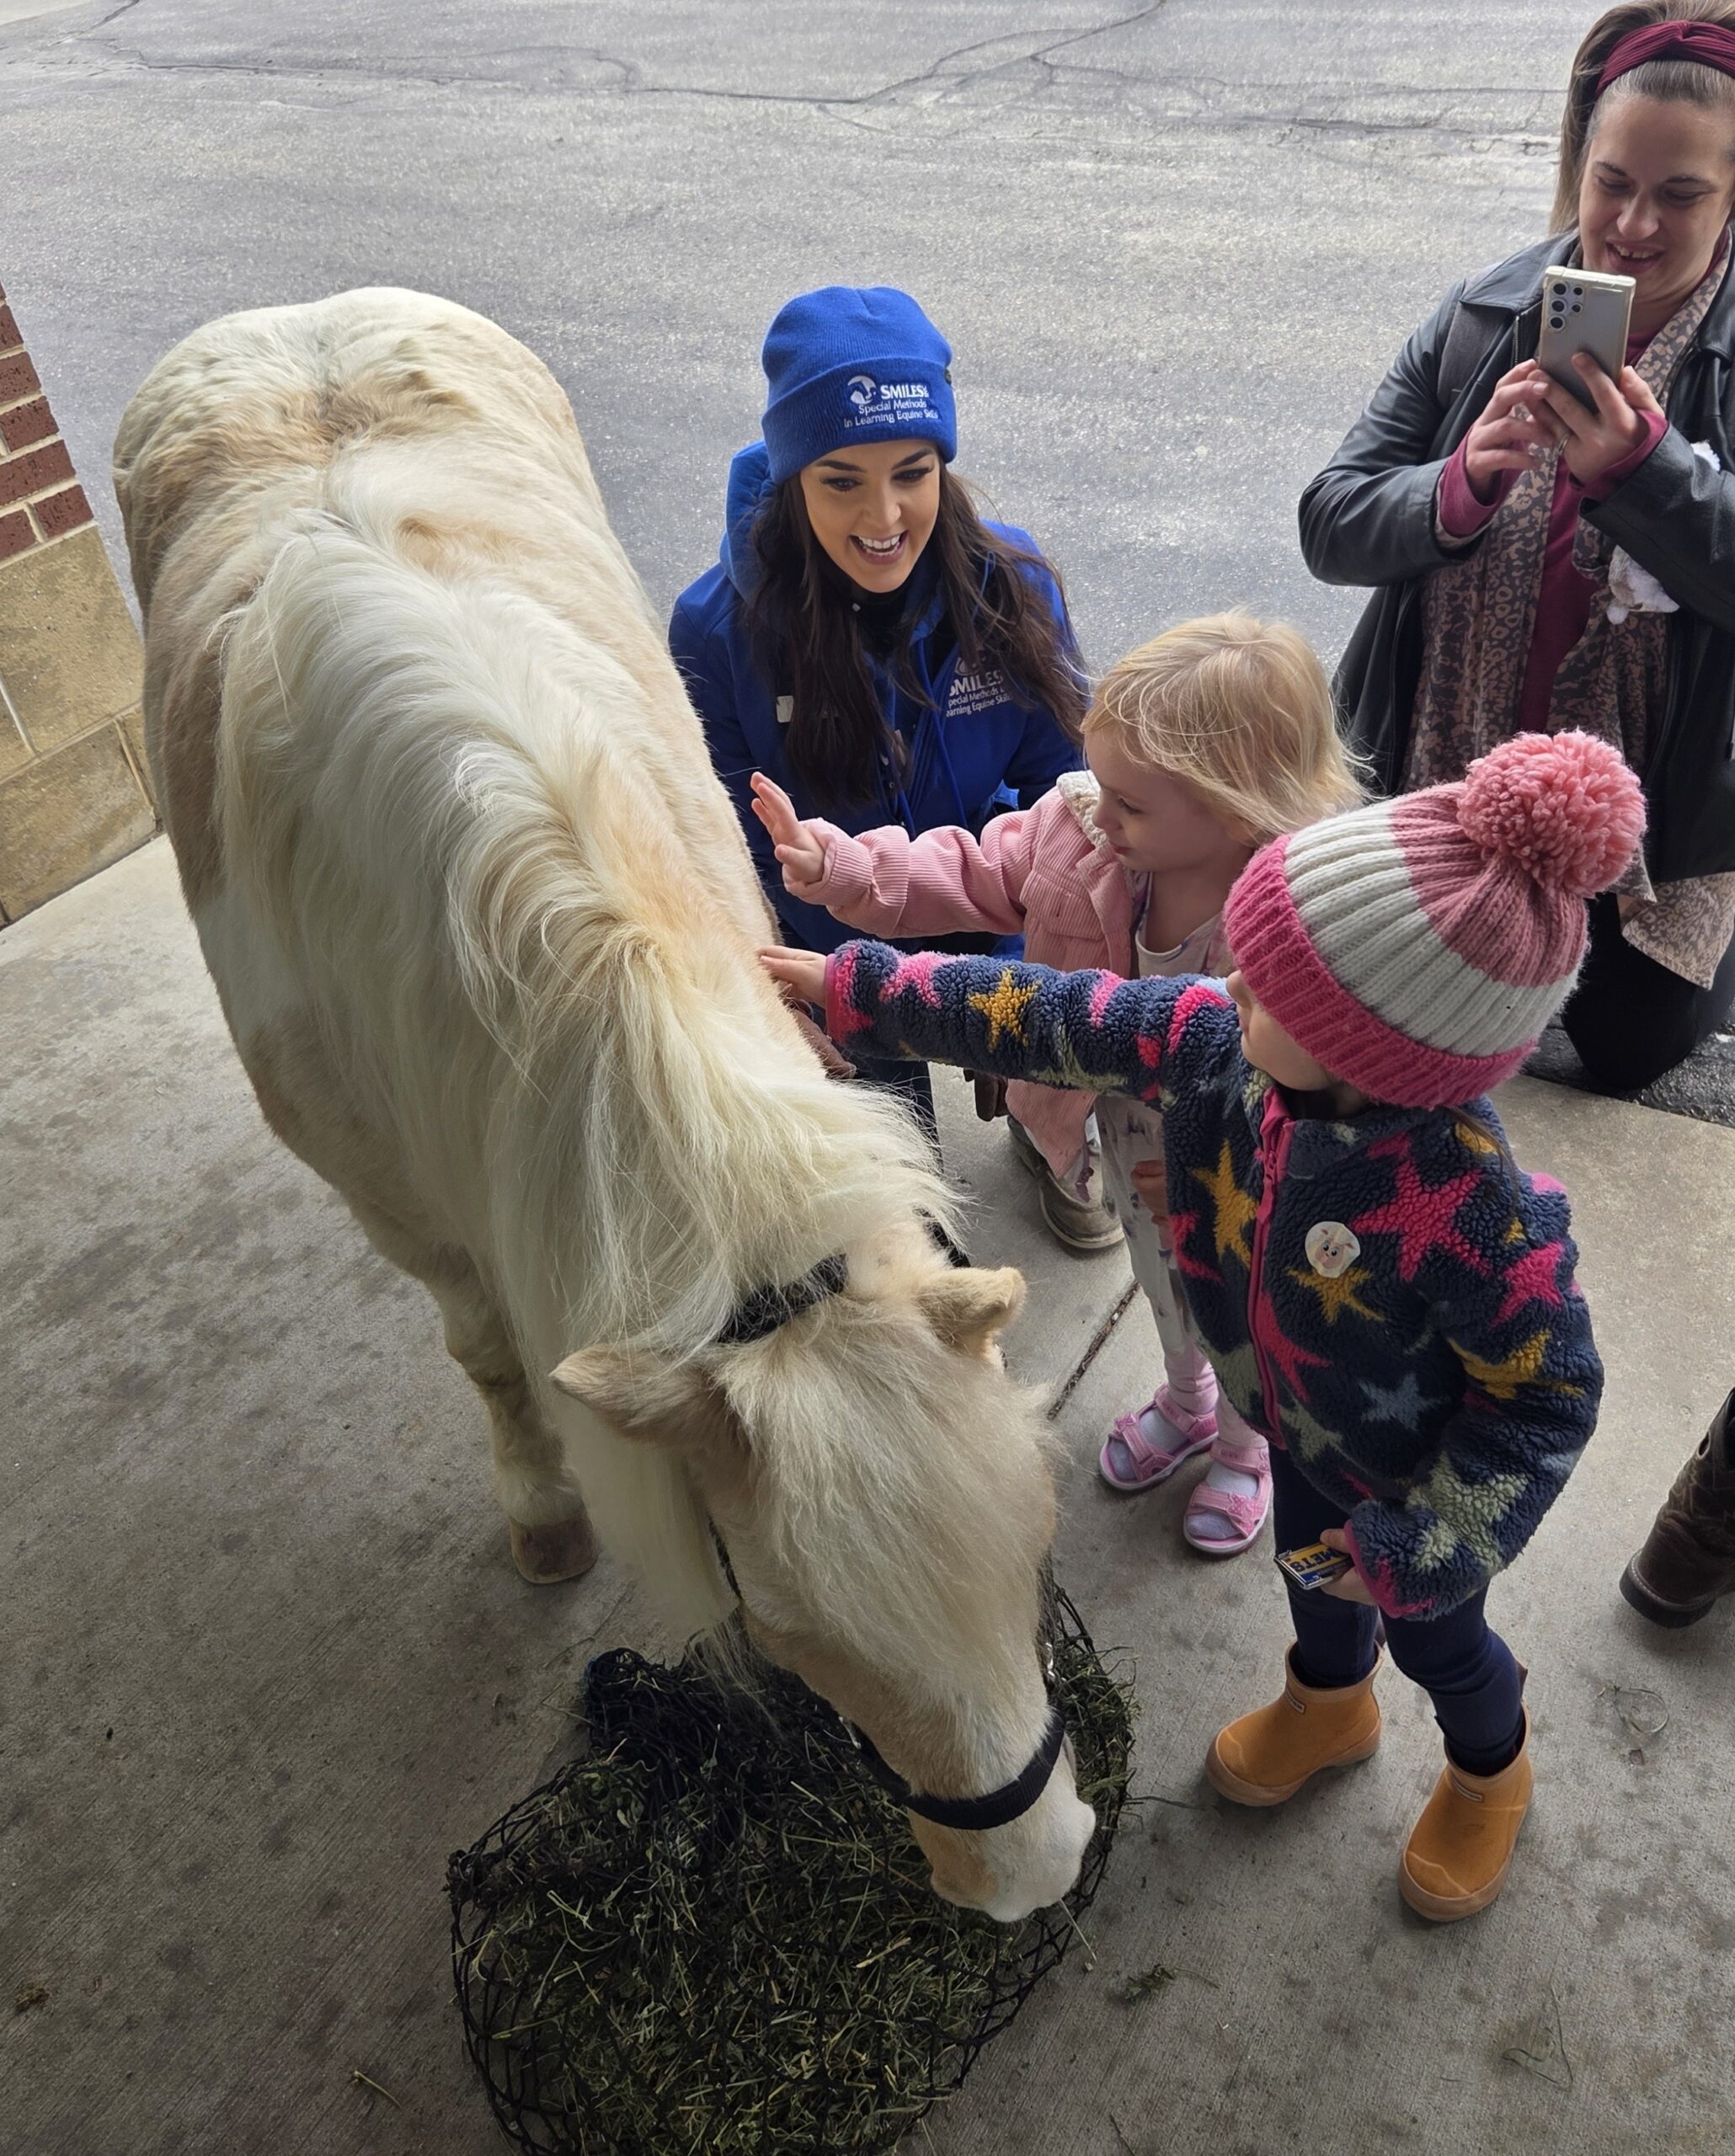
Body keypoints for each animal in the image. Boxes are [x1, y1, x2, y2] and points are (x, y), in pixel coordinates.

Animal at [112, 288, 1094, 1920]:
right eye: (785, 1629)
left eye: (1037, 1528)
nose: (1032, 1875)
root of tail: (296, 315)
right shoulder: (395, 1199)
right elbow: (483, 1347)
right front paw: (543, 1514)